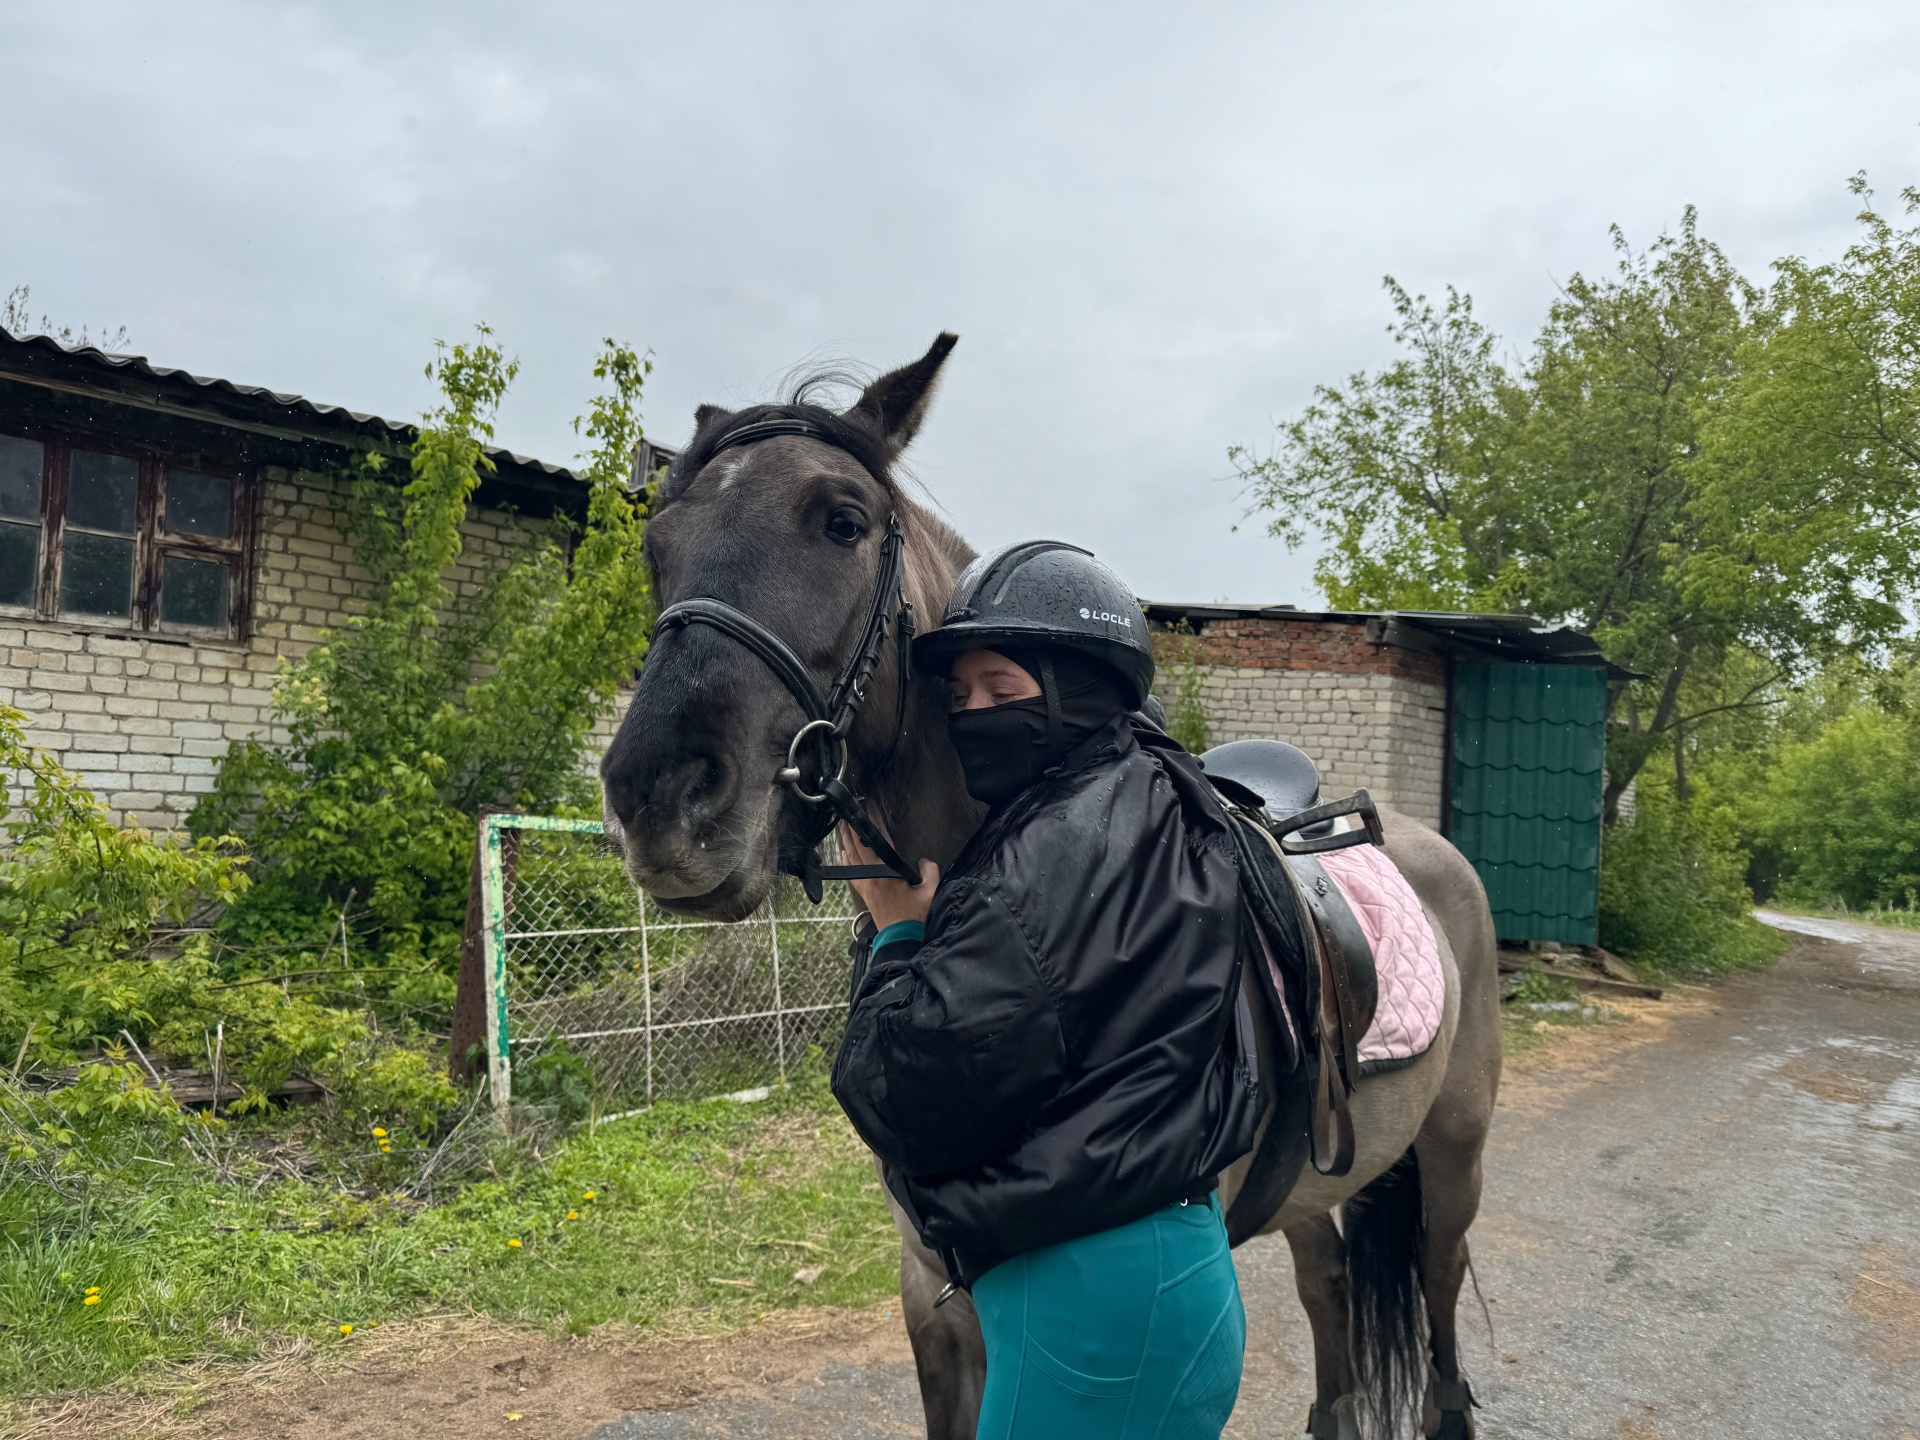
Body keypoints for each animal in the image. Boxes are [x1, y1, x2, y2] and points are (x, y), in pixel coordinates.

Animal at [599, 336, 1497, 1440]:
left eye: (842, 521)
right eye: (657, 548)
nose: (655, 799)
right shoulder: (931, 1293)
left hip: (1453, 1161)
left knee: (1439, 1294)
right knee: (1328, 1288)